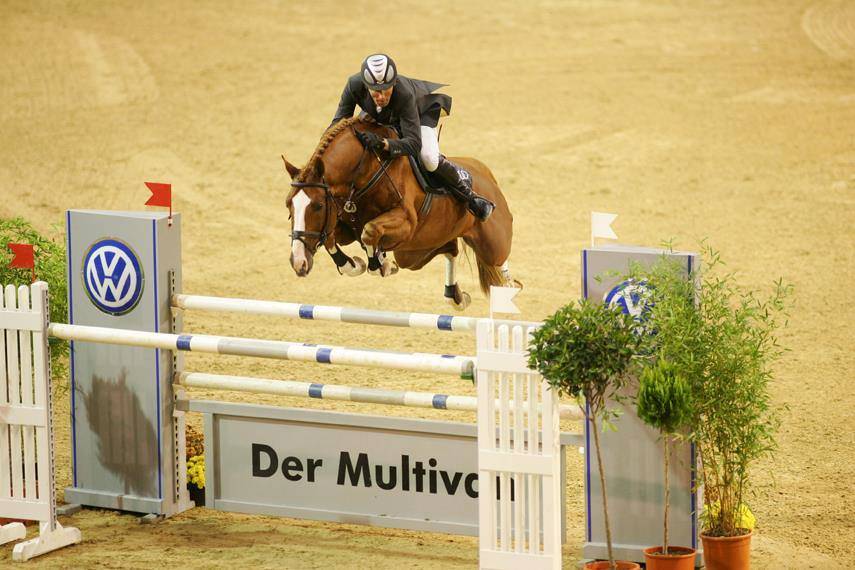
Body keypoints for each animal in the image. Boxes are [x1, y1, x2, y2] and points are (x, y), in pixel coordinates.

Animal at [282, 116, 517, 310]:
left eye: (318, 206)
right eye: (288, 205)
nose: (298, 263)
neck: (364, 171)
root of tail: (486, 173)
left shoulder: (405, 223)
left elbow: (370, 231)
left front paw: (380, 264)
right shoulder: (345, 226)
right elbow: (331, 237)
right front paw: (354, 264)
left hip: (490, 241)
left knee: (498, 260)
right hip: (415, 253)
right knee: (451, 249)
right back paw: (456, 296)